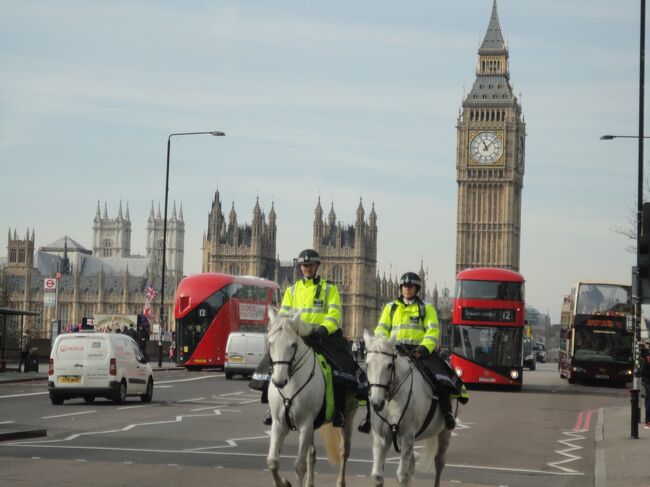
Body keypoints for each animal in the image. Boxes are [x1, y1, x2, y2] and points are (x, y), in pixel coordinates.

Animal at [264, 308, 354, 487]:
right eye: (270, 343)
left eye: (293, 345)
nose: (279, 381)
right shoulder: (279, 423)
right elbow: (272, 461)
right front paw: (283, 482)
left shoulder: (305, 423)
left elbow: (299, 466)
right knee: (311, 454)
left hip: (348, 416)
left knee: (344, 451)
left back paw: (340, 482)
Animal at [364, 332, 450, 487]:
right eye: (367, 364)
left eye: (389, 365)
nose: (377, 403)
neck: (392, 399)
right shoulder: (381, 437)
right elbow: (378, 476)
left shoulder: (407, 436)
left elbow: (402, 475)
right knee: (412, 465)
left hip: (445, 431)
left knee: (439, 462)